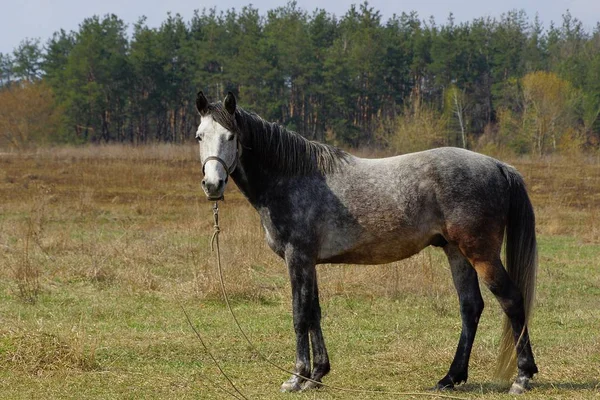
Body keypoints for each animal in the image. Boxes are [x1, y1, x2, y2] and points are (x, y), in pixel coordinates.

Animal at [197, 92, 540, 396]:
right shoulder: (310, 262)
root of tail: (498, 166)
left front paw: (297, 377)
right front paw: (317, 375)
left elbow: (299, 315)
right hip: (456, 252)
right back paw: (449, 378)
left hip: (480, 252)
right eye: (200, 136)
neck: (291, 178)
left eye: (230, 136)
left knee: (511, 300)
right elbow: (314, 313)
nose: (212, 184)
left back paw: (522, 377)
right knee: (470, 307)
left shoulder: (298, 258)